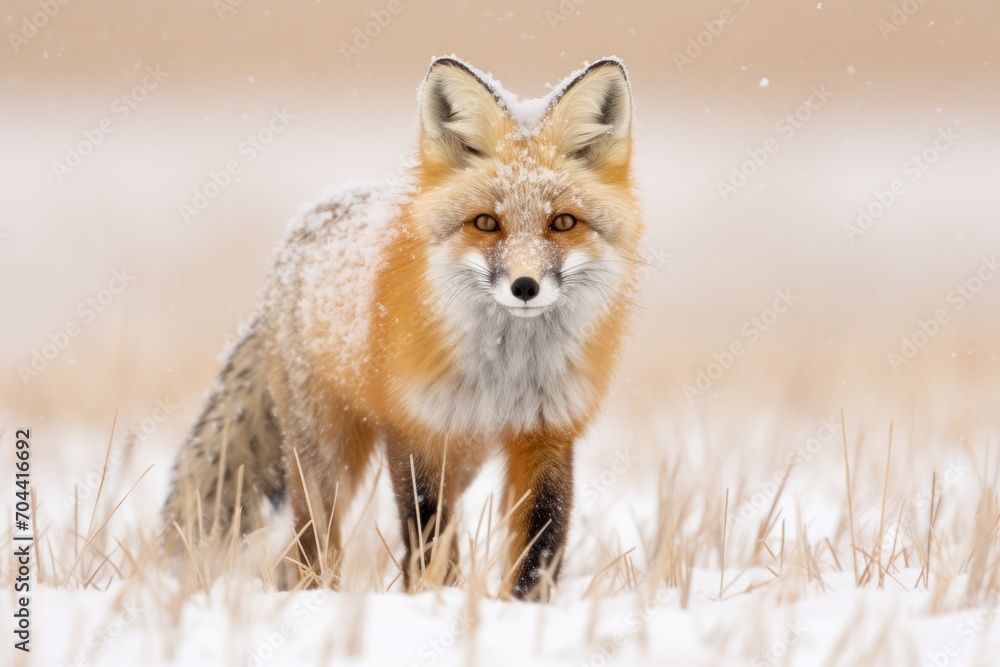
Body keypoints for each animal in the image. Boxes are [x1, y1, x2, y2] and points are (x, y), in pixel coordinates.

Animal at [163, 55, 645, 600]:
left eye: (563, 223)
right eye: (486, 223)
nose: (525, 286)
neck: (505, 371)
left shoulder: (546, 433)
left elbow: (539, 541)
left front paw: (521, 609)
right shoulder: (415, 430)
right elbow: (427, 532)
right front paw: (435, 599)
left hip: (465, 456)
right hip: (326, 457)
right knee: (310, 544)